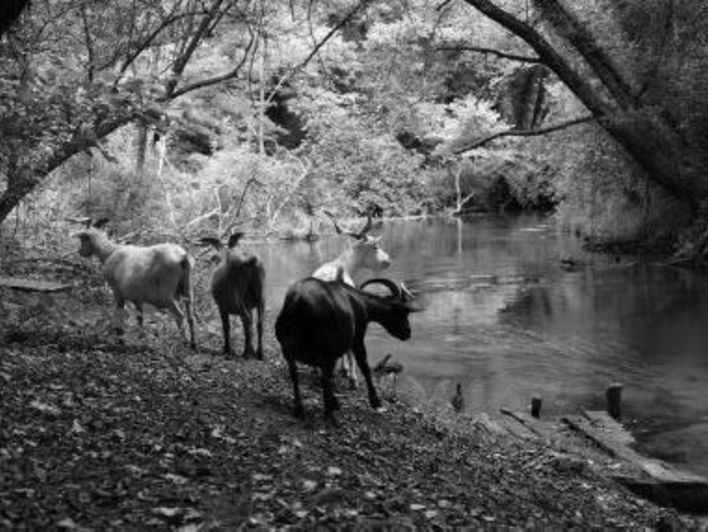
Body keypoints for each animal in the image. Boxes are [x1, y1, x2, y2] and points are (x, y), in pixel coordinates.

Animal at [72, 217, 196, 350]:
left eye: (83, 239)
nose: (79, 252)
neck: (110, 252)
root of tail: (182, 256)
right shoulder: (138, 298)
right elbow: (140, 318)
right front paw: (141, 339)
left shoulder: (117, 292)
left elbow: (119, 315)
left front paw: (120, 339)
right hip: (187, 288)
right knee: (190, 317)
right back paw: (193, 344)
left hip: (166, 295)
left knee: (180, 316)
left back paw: (184, 342)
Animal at [276, 270, 420, 424]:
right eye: (401, 311)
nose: (407, 332)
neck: (362, 303)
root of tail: (297, 303)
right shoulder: (357, 336)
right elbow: (363, 365)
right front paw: (375, 401)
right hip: (324, 349)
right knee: (323, 377)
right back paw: (329, 415)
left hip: (288, 347)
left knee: (295, 373)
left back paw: (300, 409)